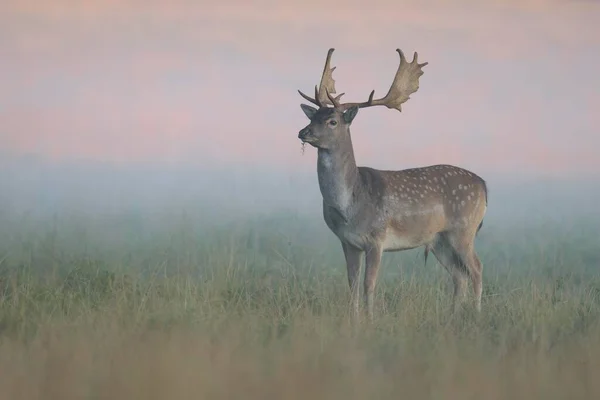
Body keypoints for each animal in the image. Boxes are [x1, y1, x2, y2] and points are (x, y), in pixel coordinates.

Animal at [296, 47, 488, 322]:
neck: (349, 205)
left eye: (333, 121)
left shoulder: (377, 238)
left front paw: (370, 320)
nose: (303, 132)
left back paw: (477, 313)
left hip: (464, 229)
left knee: (477, 269)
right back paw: (453, 316)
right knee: (459, 275)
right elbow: (352, 283)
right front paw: (354, 320)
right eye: (314, 116)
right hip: (439, 239)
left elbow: (369, 284)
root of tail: (483, 185)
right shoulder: (347, 242)